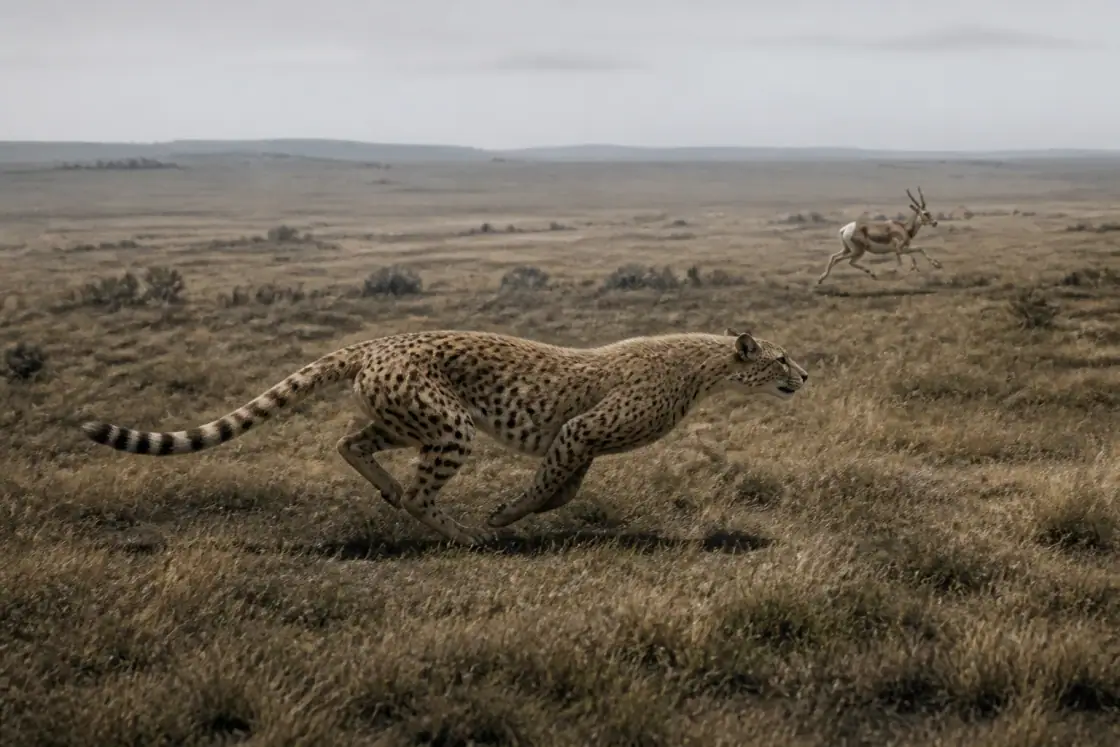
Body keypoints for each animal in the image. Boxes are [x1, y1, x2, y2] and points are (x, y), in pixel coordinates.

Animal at [80, 328, 809, 545]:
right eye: (779, 358)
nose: (804, 374)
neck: (706, 365)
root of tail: (377, 342)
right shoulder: (581, 430)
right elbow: (551, 485)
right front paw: (503, 516)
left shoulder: (581, 440)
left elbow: (565, 489)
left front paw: (521, 511)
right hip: (448, 425)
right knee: (419, 493)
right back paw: (463, 535)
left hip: (403, 416)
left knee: (351, 444)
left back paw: (387, 491)